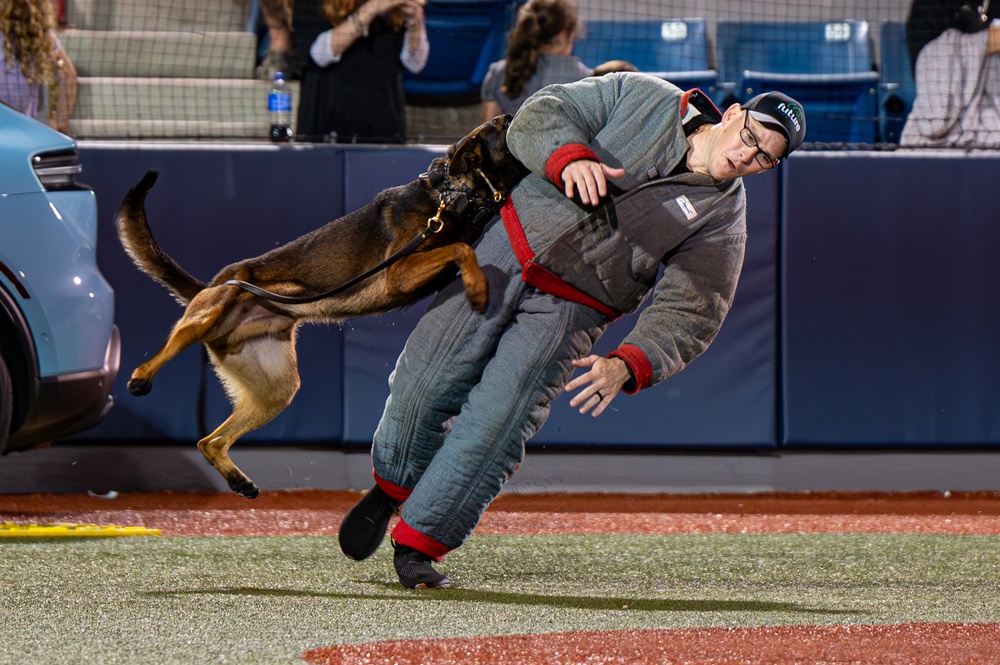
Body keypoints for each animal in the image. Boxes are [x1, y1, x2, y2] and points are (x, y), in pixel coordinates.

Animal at [113, 115, 528, 498]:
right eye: (506, 123)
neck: (452, 193)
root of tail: (217, 284)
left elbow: (460, 250)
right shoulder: (399, 272)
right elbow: (460, 250)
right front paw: (477, 288)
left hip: (278, 389)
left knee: (209, 441)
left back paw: (238, 479)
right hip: (210, 313)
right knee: (168, 348)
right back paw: (141, 377)